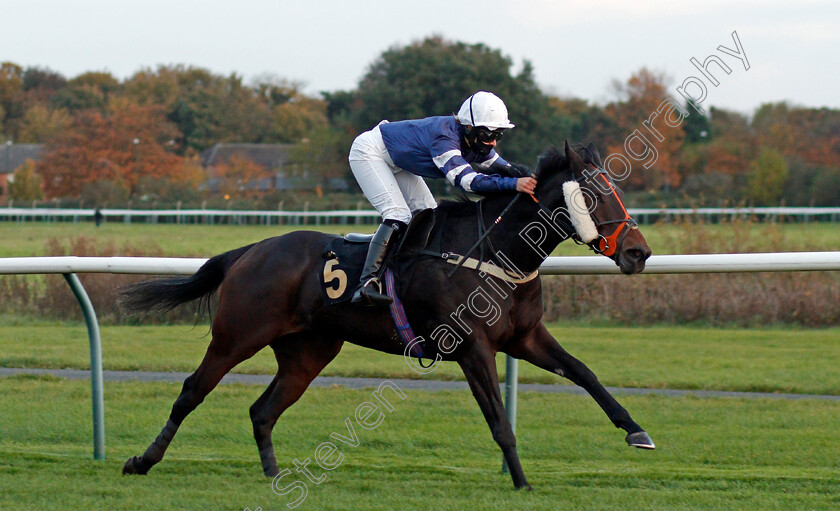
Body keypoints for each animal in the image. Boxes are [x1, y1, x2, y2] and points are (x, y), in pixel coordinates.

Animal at [120, 142, 656, 490]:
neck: (494, 253)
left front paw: (636, 430)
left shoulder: (525, 338)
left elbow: (584, 373)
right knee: (192, 391)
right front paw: (522, 483)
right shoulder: (472, 348)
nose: (639, 252)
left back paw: (275, 477)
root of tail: (251, 250)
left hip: (307, 351)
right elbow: (499, 419)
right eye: (595, 195)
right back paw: (142, 462)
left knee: (263, 410)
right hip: (237, 335)